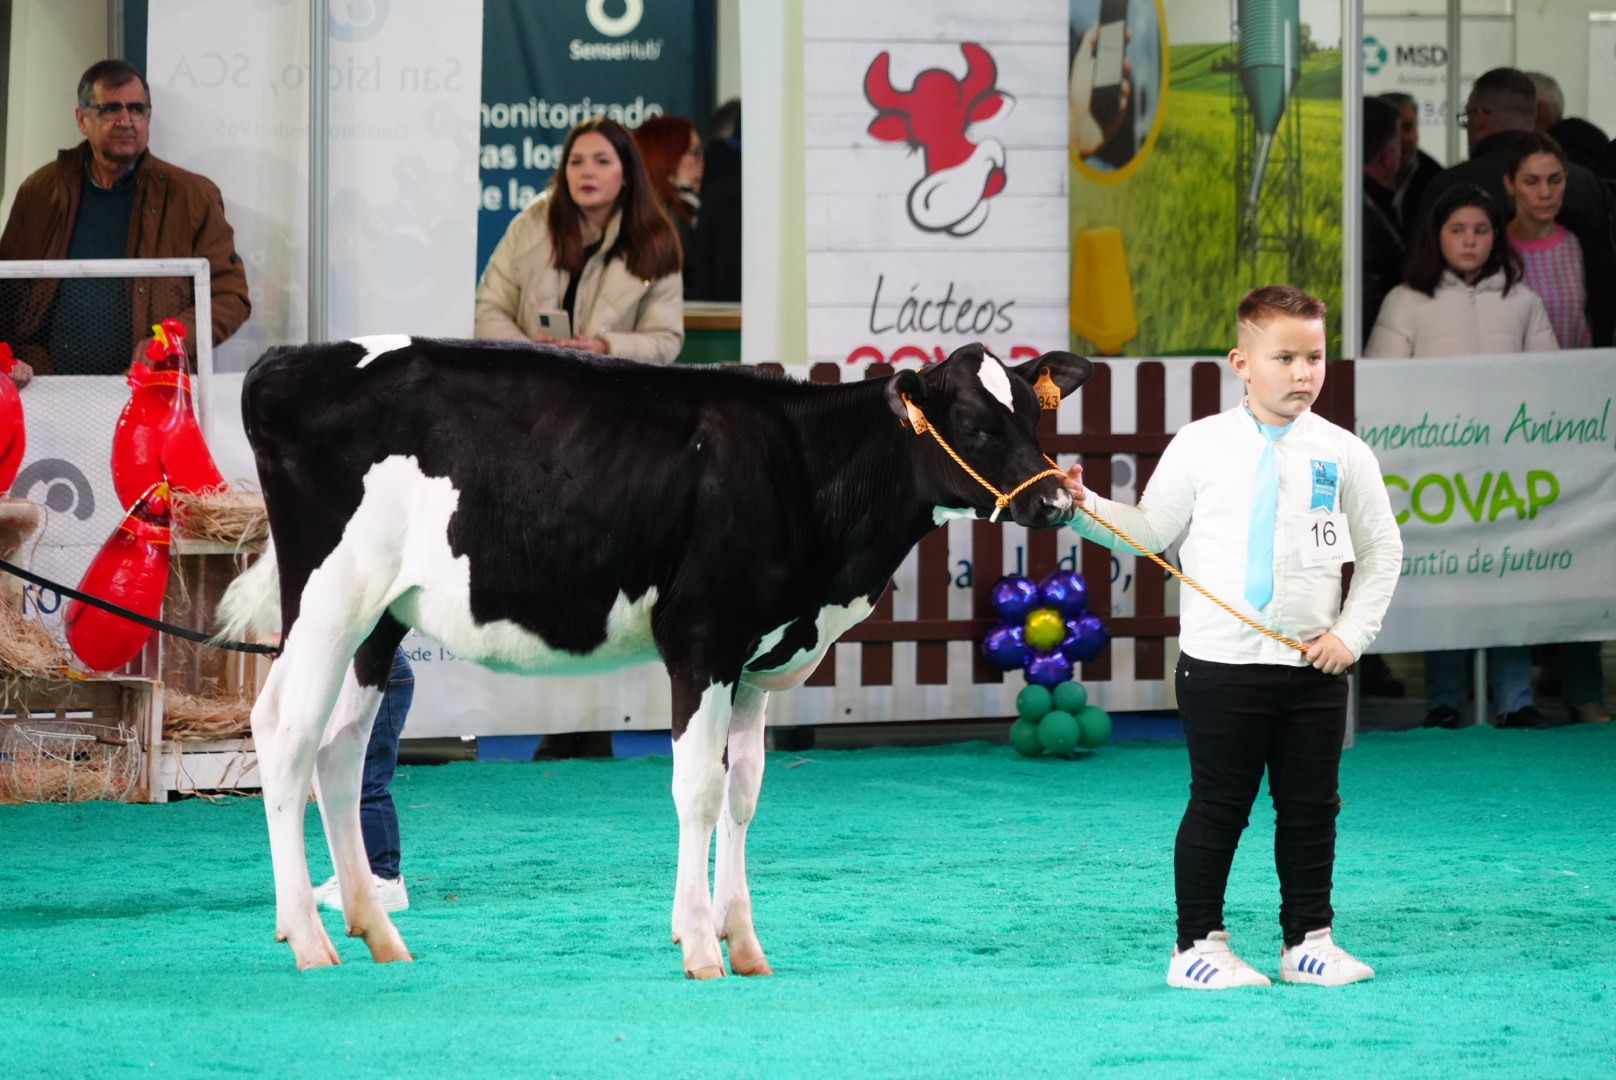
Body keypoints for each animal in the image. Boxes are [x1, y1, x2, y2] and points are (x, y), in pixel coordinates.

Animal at [218, 339, 1085, 976]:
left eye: (1033, 416)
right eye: (973, 421)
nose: (1054, 501)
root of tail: (290, 359)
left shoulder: (754, 662)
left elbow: (744, 795)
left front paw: (744, 942)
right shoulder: (701, 640)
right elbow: (696, 790)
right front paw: (699, 945)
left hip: (378, 625)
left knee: (340, 753)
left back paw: (376, 933)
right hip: (328, 598)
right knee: (284, 734)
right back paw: (308, 938)